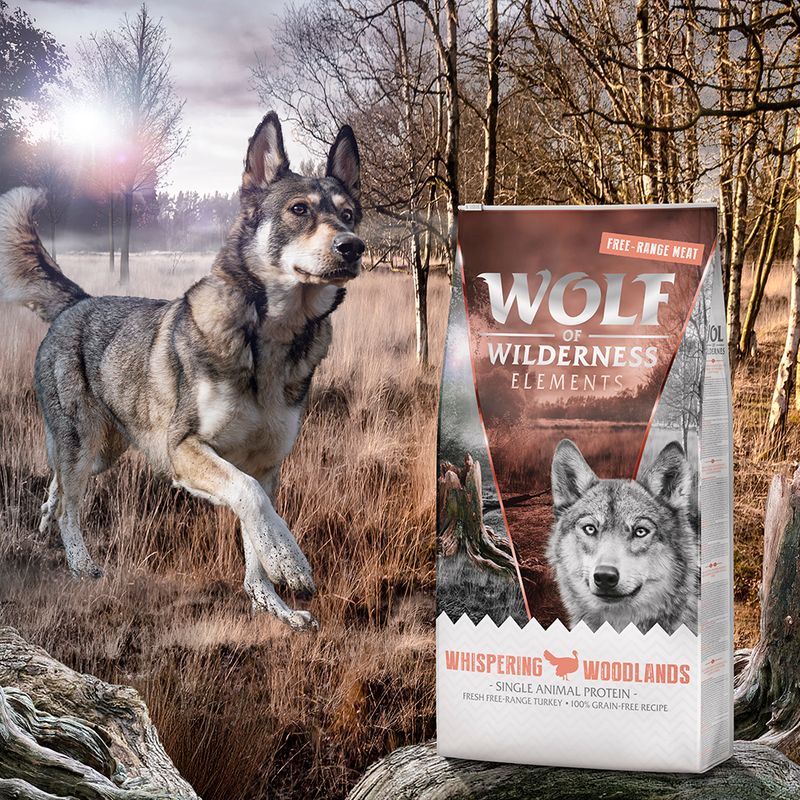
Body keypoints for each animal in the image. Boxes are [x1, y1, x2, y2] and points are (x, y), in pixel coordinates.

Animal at [0, 112, 364, 631]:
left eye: (349, 214)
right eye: (299, 209)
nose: (354, 247)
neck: (268, 341)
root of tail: (80, 301)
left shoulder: (266, 463)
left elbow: (256, 531)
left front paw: (274, 604)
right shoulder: (183, 449)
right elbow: (252, 501)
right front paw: (291, 563)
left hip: (101, 451)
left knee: (58, 484)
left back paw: (46, 523)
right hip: (84, 441)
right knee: (72, 504)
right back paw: (81, 563)